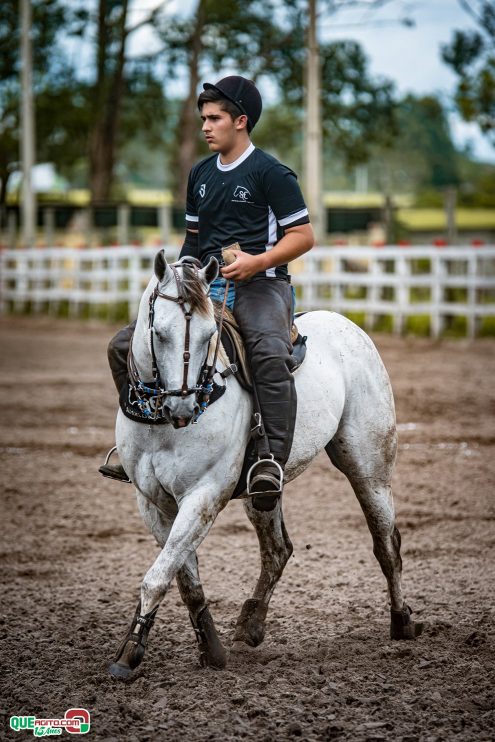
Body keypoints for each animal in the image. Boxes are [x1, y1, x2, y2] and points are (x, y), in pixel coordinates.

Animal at [108, 254, 422, 680]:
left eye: (210, 335)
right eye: (158, 333)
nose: (184, 408)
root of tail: (347, 324)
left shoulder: (203, 496)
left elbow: (158, 576)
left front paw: (129, 654)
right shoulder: (153, 502)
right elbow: (182, 576)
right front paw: (209, 648)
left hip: (369, 468)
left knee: (387, 545)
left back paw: (401, 620)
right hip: (262, 494)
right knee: (277, 550)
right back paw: (251, 623)